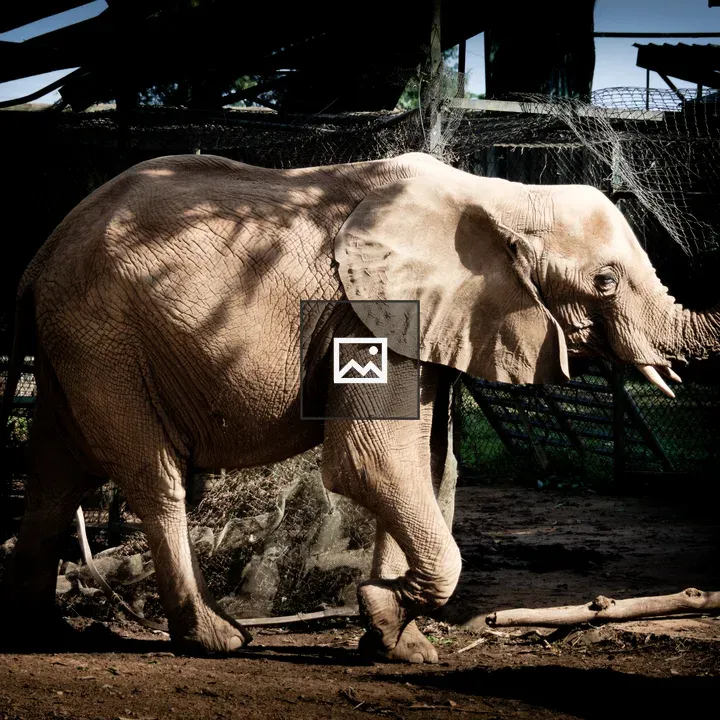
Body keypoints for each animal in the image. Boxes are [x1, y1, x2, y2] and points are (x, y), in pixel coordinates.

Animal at [1, 151, 718, 662]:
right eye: (605, 281)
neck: (499, 194)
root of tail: (38, 259)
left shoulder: (429, 319)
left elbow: (428, 463)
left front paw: (398, 641)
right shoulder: (372, 309)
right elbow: (372, 460)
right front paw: (382, 609)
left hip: (77, 347)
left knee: (54, 476)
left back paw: (46, 633)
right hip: (105, 341)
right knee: (154, 478)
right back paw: (217, 638)